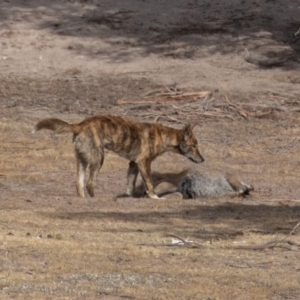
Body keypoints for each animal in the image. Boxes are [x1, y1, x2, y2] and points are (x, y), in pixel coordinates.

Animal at [32, 116, 204, 198]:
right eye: (194, 145)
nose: (203, 160)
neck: (163, 136)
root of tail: (80, 125)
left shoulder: (133, 164)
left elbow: (130, 185)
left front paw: (128, 197)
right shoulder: (144, 163)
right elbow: (149, 184)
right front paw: (155, 197)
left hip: (82, 161)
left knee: (79, 184)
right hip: (98, 160)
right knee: (90, 184)